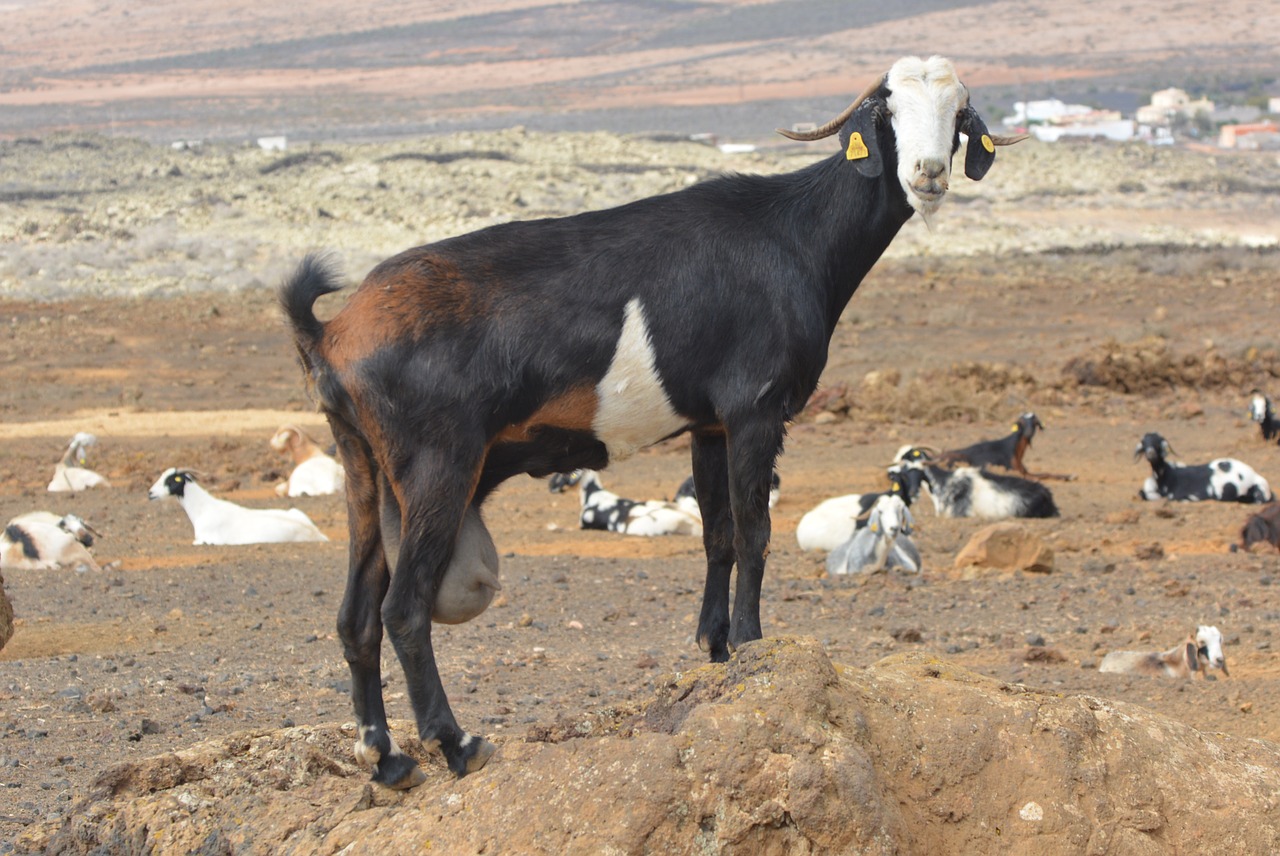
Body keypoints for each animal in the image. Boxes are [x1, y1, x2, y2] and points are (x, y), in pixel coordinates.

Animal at [1136, 429, 1274, 504]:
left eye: (1157, 443)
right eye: (1144, 443)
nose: (1150, 454)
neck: (1169, 475)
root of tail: (1256, 477)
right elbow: (1142, 493)